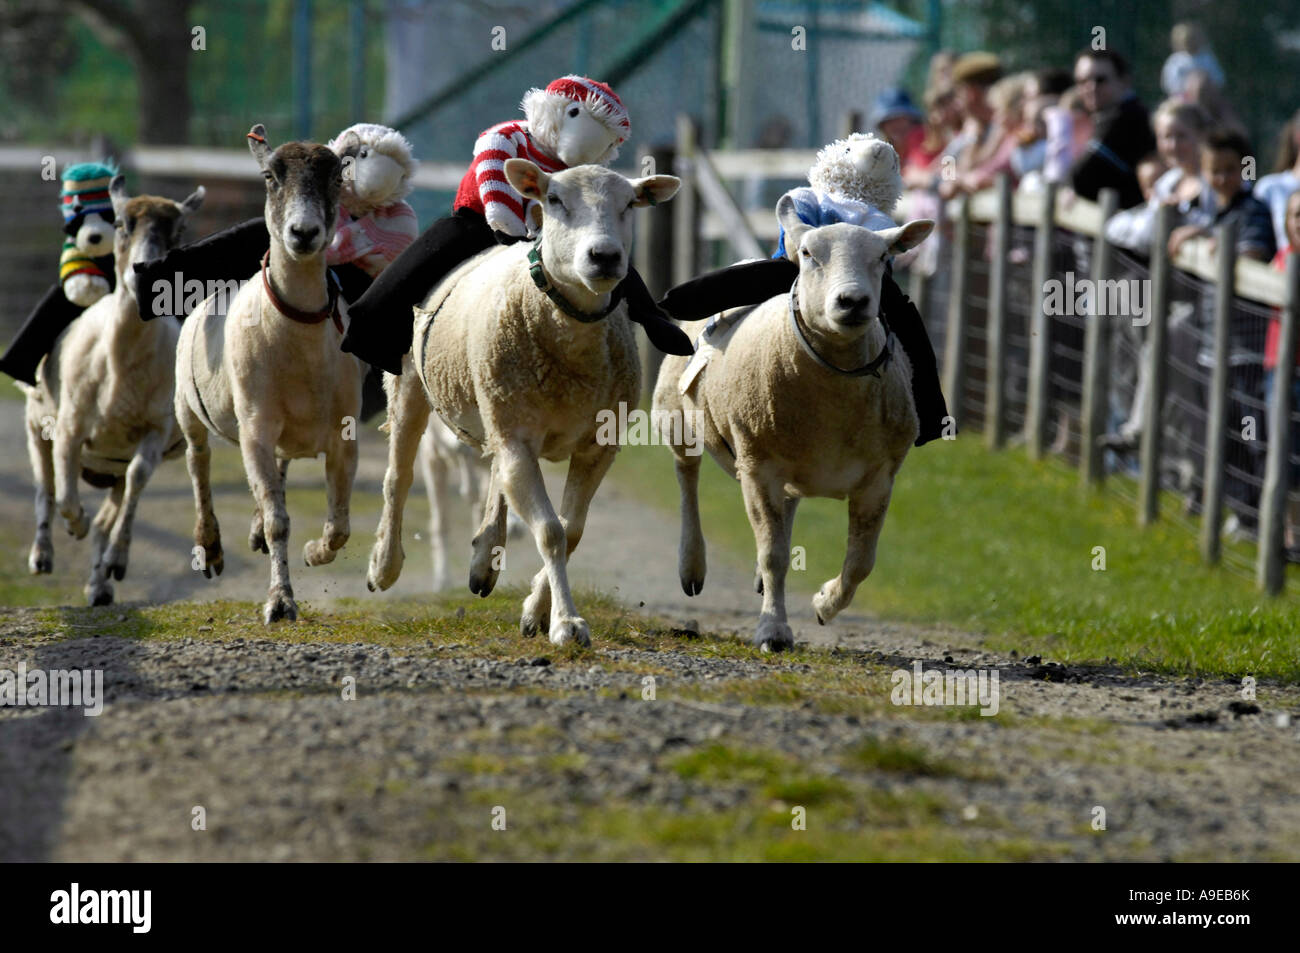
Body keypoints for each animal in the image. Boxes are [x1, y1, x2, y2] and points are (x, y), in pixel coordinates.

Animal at [23, 175, 204, 605]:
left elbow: (137, 479)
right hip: (35, 423)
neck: (121, 374)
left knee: (109, 512)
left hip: (112, 468)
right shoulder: (69, 427)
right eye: (121, 224)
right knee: (44, 487)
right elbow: (64, 495)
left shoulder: (154, 430)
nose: (143, 275)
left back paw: (100, 584)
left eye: (179, 231)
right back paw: (43, 556)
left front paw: (116, 562)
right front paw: (75, 525)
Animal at [174, 124, 361, 625]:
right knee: (198, 462)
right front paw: (280, 601)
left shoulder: (343, 432)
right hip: (187, 407)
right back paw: (210, 545)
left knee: (276, 473)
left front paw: (315, 551)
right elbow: (280, 521)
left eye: (337, 174)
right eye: (269, 176)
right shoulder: (255, 426)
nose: (303, 233)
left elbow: (339, 525)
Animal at [367, 158, 679, 645]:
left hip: (498, 407)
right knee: (397, 476)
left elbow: (572, 531)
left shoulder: (597, 446)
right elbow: (550, 532)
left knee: (497, 476)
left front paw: (537, 611)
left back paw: (483, 560)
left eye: (630, 203)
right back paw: (385, 565)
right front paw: (567, 624)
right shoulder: (516, 435)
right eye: (554, 199)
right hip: (411, 384)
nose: (605, 257)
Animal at [653, 194, 934, 651]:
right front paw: (773, 630)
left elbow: (861, 562)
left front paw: (824, 603)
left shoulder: (879, 479)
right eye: (807, 254)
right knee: (686, 477)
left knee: (787, 507)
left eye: (882, 257)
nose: (853, 302)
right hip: (675, 417)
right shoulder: (758, 465)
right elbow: (774, 555)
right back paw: (691, 566)